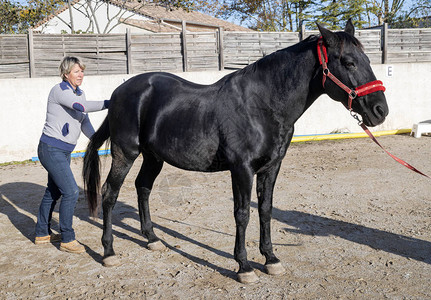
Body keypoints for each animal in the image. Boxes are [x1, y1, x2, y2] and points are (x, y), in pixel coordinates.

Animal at [82, 21, 390, 284]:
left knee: (142, 188)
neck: (262, 105)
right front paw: (244, 266)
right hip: (126, 153)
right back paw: (109, 252)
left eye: (368, 60)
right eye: (348, 62)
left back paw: (152, 239)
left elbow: (264, 210)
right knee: (110, 193)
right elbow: (242, 214)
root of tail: (119, 92)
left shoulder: (271, 167)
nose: (380, 111)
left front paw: (271, 259)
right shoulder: (242, 169)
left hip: (153, 157)